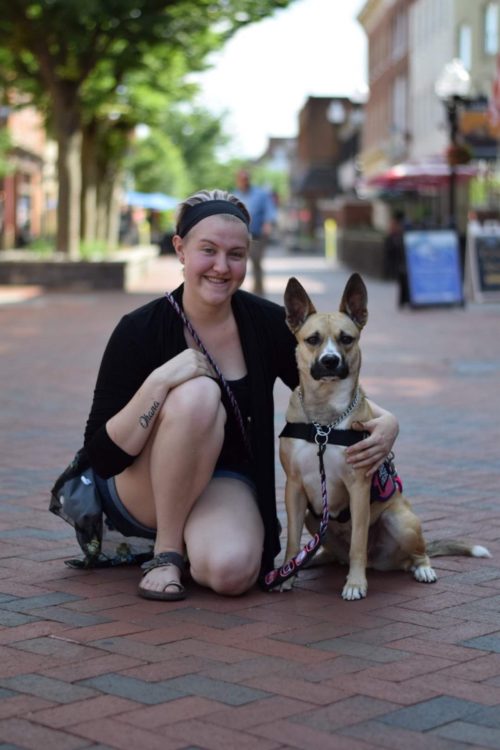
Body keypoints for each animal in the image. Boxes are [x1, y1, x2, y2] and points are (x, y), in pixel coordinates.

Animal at [280, 274, 490, 604]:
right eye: (312, 339)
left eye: (347, 338)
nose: (330, 361)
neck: (324, 424)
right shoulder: (294, 488)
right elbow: (291, 538)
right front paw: (287, 574)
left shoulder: (358, 488)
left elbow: (357, 543)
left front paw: (355, 584)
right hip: (315, 518)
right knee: (327, 551)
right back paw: (310, 560)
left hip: (401, 521)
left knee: (413, 554)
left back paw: (422, 569)